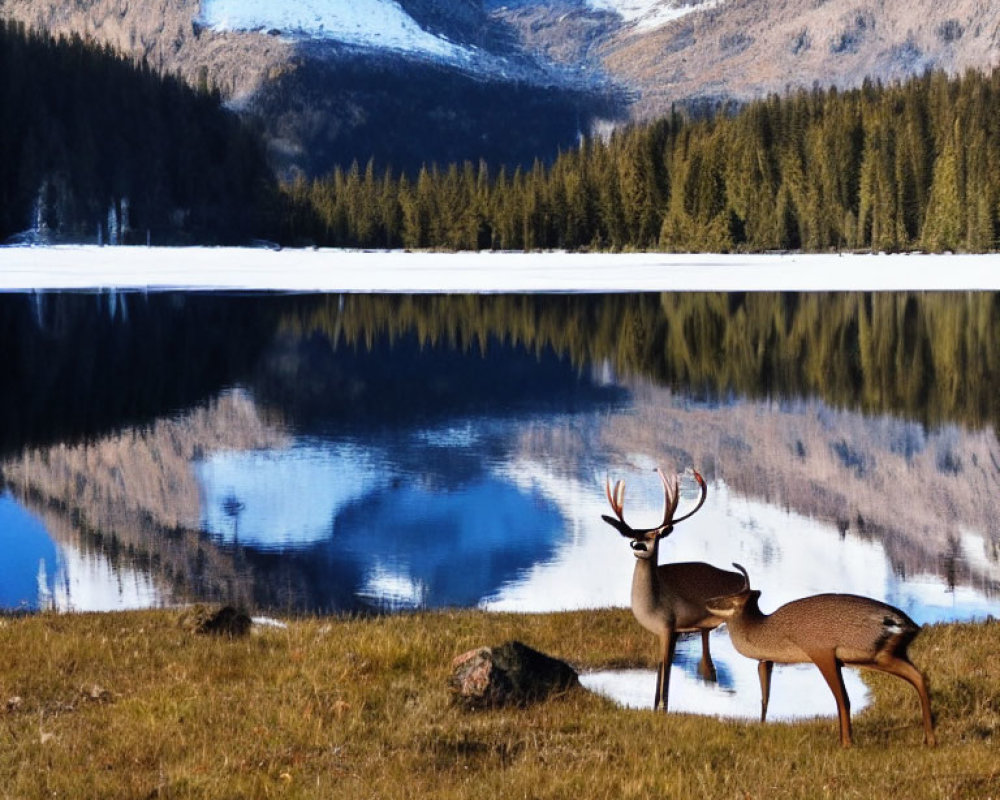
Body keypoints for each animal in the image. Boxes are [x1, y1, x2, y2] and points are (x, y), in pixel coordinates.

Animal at [596, 468, 748, 712]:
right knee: (709, 663)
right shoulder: (664, 631)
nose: (639, 546)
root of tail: (741, 577)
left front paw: (662, 707)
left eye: (656, 536)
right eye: (633, 536)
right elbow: (660, 665)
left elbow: (667, 665)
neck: (652, 606)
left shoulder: (670, 626)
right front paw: (655, 707)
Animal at [704, 564, 936, 748]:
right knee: (919, 676)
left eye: (727, 599)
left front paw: (846, 743)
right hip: (884, 656)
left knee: (847, 698)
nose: (707, 601)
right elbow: (765, 697)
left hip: (872, 656)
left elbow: (843, 699)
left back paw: (847, 743)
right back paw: (929, 739)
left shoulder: (822, 652)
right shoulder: (769, 660)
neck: (769, 634)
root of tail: (905, 624)